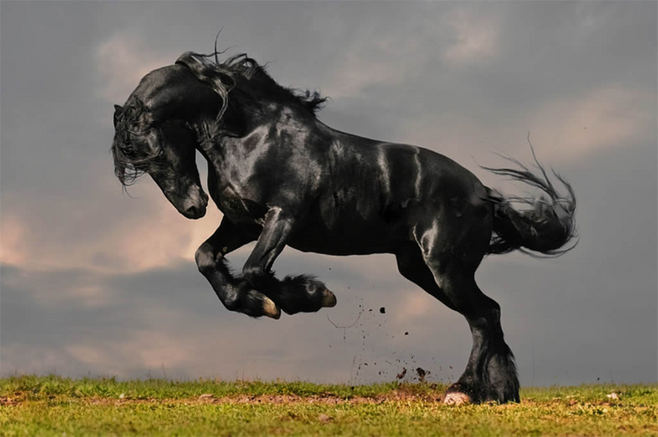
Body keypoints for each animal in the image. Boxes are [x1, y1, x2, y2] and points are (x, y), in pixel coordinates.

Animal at [111, 50, 576, 404]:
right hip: (420, 270)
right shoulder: (242, 222)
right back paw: (498, 393)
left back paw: (463, 391)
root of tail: (484, 194)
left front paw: (308, 296)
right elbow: (206, 258)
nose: (192, 208)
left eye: (154, 151)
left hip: (446, 268)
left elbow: (255, 270)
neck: (251, 135)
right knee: (488, 314)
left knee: (483, 316)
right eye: (138, 162)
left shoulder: (283, 217)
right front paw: (259, 304)